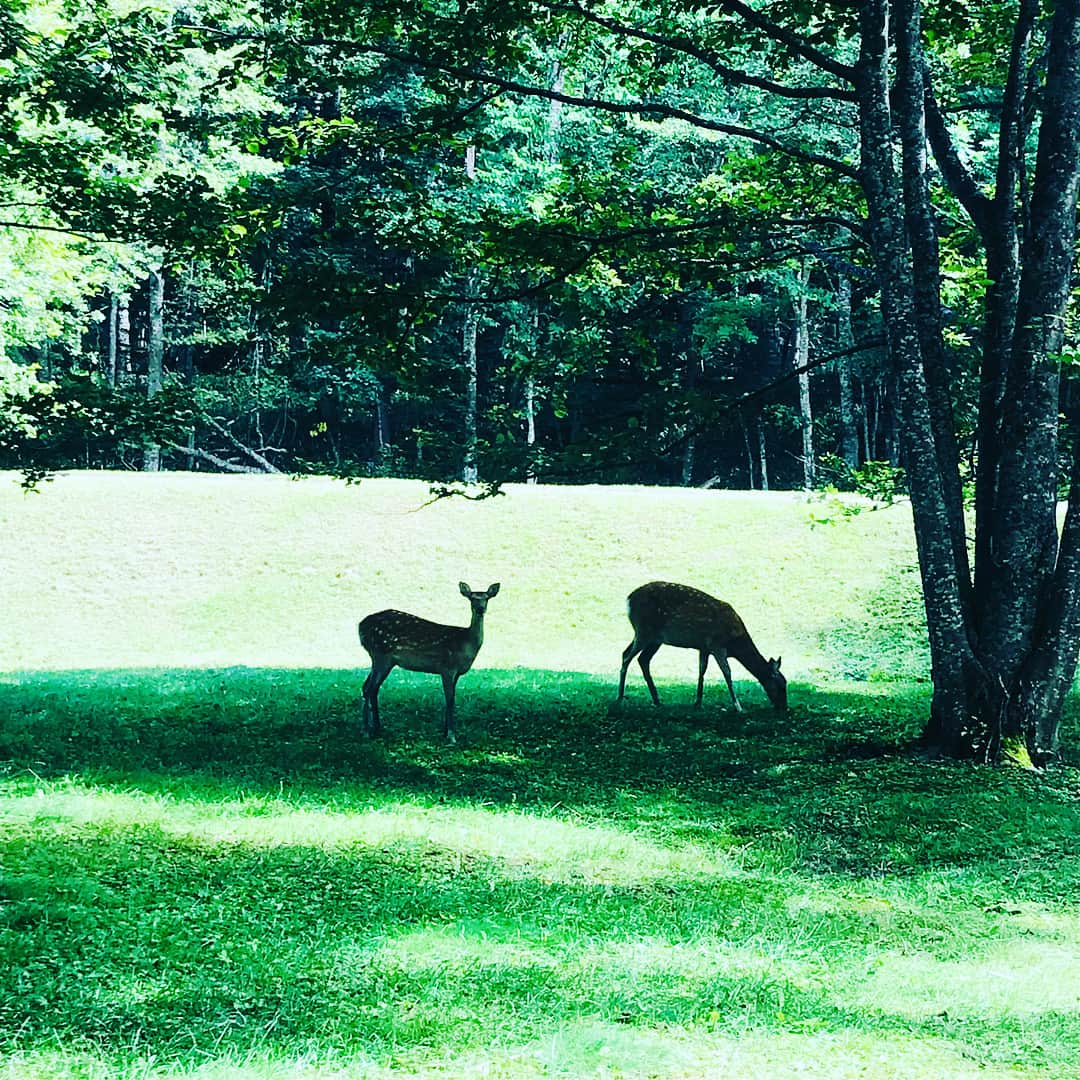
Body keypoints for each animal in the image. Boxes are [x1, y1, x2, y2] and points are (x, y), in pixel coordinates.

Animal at [358, 583, 501, 743]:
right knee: (369, 688)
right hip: (381, 655)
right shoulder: (447, 668)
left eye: (486, 598)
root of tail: (360, 626)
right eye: (472, 598)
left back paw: (377, 728)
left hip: (382, 659)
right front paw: (451, 735)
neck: (465, 644)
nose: (480, 609)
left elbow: (450, 698)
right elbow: (450, 699)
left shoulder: (456, 673)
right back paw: (366, 731)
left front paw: (445, 732)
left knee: (369, 687)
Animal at [617, 578, 786, 712]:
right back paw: (620, 698)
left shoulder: (704, 648)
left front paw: (698, 702)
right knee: (627, 657)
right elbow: (727, 673)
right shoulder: (717, 645)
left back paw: (657, 700)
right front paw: (738, 706)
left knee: (639, 658)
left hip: (654, 638)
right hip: (644, 630)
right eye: (781, 685)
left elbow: (701, 671)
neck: (735, 643)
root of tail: (628, 600)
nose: (784, 707)